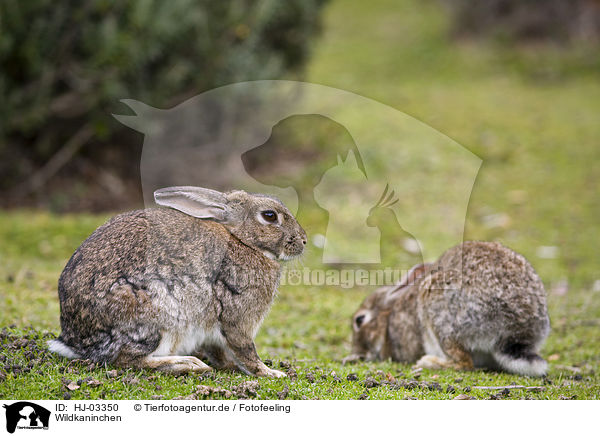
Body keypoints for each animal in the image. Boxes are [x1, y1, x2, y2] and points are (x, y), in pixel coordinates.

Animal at [48, 186, 308, 376]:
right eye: (270, 216)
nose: (304, 241)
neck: (243, 241)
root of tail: (76, 342)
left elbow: (220, 352)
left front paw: (231, 366)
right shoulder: (238, 317)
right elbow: (245, 350)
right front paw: (271, 373)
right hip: (155, 315)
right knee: (126, 359)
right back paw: (187, 364)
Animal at [346, 240, 552, 376]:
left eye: (359, 320)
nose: (357, 354)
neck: (388, 318)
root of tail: (516, 333)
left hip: (441, 316)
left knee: (464, 362)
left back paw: (428, 362)